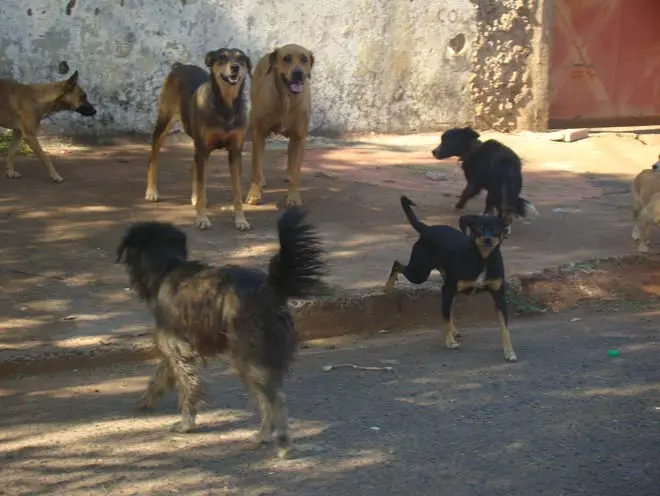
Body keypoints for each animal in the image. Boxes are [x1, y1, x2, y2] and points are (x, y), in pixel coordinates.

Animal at [117, 206, 328, 458]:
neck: (166, 266)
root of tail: (269, 288)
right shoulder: (175, 346)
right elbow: (159, 376)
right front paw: (146, 400)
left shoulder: (177, 346)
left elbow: (188, 386)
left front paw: (187, 424)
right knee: (267, 398)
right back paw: (264, 435)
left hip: (246, 359)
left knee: (275, 400)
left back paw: (283, 442)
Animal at [146, 48, 251, 231]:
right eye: (222, 57)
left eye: (241, 59)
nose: (235, 67)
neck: (226, 106)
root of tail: (179, 66)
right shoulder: (202, 149)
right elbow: (202, 185)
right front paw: (202, 219)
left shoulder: (235, 152)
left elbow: (237, 190)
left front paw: (240, 220)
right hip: (164, 122)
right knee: (153, 158)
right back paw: (151, 191)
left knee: (192, 167)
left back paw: (194, 197)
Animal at [245, 41, 314, 206]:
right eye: (286, 58)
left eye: (304, 59)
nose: (298, 73)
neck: (287, 98)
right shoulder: (259, 133)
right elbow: (256, 166)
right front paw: (254, 194)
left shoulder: (299, 138)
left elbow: (297, 172)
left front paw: (293, 196)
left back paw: (288, 174)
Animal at [384, 196, 520, 362]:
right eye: (479, 228)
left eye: (495, 229)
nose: (487, 239)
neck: (483, 259)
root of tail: (427, 228)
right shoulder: (448, 289)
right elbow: (445, 318)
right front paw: (449, 342)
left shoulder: (499, 295)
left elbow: (504, 327)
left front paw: (509, 351)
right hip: (419, 273)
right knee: (397, 264)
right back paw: (388, 286)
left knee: (448, 310)